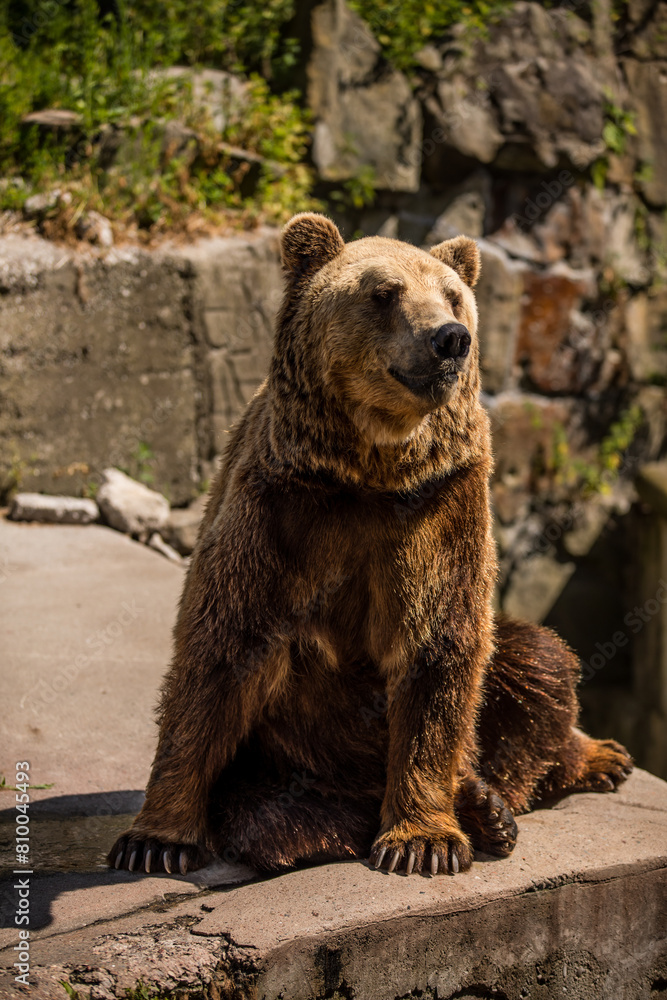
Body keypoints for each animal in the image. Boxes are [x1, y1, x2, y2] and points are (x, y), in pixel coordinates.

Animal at [109, 213, 633, 878]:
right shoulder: (281, 505)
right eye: (385, 293)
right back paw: (464, 805)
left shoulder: (441, 500)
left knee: (539, 662)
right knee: (276, 816)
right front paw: (157, 838)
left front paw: (423, 841)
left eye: (453, 296)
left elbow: (439, 646)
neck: (370, 468)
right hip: (285, 751)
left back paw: (569, 769)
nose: (451, 339)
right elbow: (224, 643)